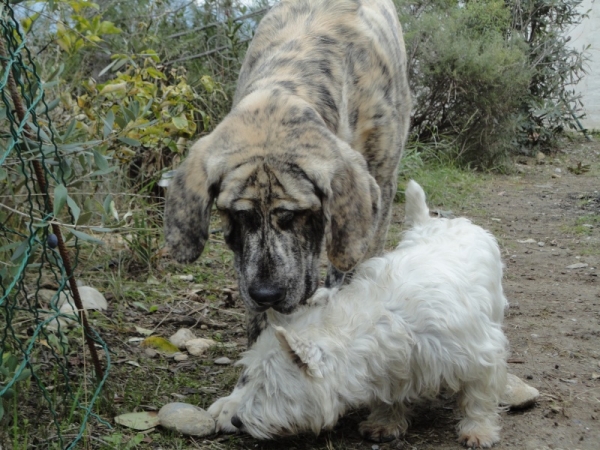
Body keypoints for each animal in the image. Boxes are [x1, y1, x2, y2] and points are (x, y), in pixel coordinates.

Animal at [209, 181, 508, 448]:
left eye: (269, 386)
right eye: (249, 380)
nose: (236, 421)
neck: (386, 320)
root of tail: (434, 223)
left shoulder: (480, 354)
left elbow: (479, 397)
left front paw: (478, 430)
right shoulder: (393, 368)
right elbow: (391, 397)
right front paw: (384, 423)